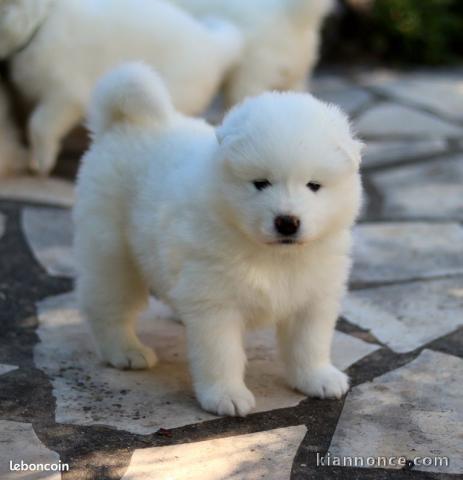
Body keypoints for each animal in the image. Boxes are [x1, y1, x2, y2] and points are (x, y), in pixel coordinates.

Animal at [74, 63, 364, 416]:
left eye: (314, 186)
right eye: (260, 183)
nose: (287, 222)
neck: (274, 256)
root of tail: (127, 123)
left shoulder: (315, 295)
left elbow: (310, 343)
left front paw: (318, 378)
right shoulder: (216, 302)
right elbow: (221, 354)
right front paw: (226, 395)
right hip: (112, 254)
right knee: (108, 305)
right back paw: (126, 351)